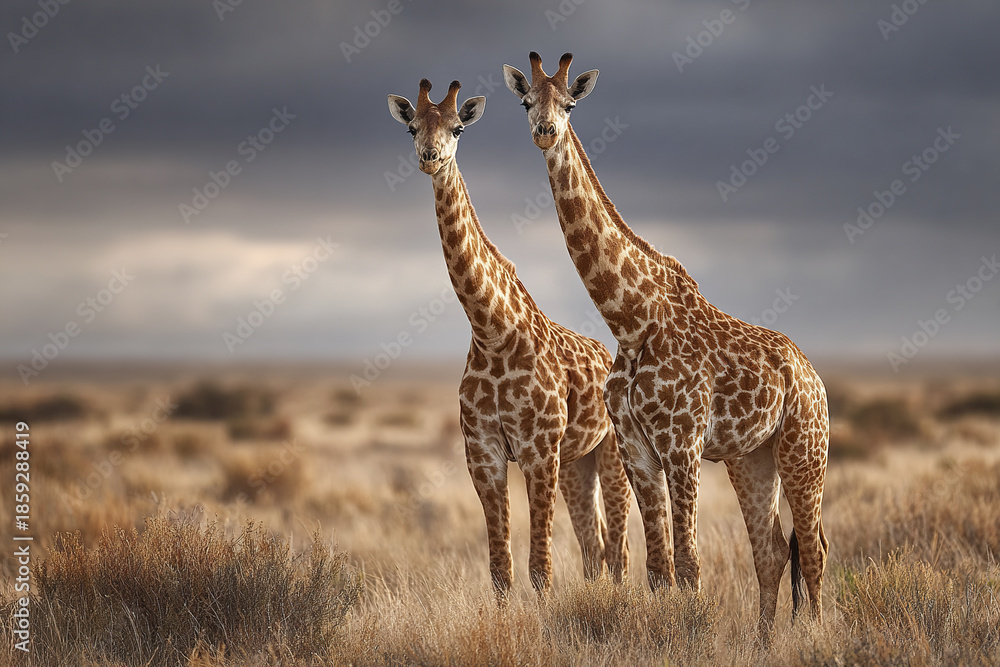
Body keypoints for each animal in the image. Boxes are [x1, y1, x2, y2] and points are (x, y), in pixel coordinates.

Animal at [387, 78, 633, 600]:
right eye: (412, 128)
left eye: (458, 128)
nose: (430, 158)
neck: (493, 330)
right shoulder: (483, 453)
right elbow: (501, 568)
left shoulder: (538, 450)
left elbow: (540, 568)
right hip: (575, 462)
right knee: (595, 543)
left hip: (609, 452)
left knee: (619, 544)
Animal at [504, 53, 830, 634]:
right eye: (525, 101)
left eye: (570, 103)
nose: (545, 131)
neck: (631, 321)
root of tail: (814, 378)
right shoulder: (636, 448)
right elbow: (658, 566)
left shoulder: (682, 444)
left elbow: (689, 562)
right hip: (752, 458)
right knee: (771, 549)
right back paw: (765, 642)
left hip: (804, 451)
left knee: (813, 550)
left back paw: (813, 638)